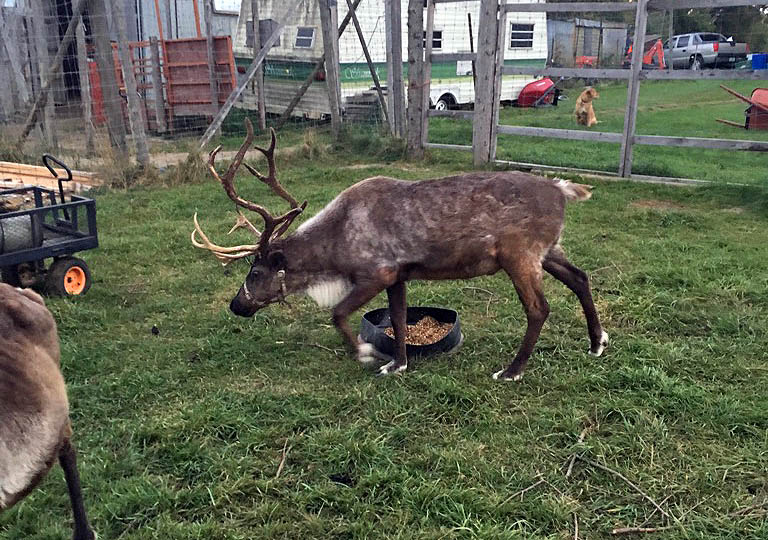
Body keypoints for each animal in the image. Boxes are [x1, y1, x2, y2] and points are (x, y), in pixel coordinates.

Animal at [192, 120, 608, 380]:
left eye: (255, 271)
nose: (236, 305)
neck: (334, 249)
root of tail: (562, 189)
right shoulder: (400, 274)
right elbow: (397, 316)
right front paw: (398, 364)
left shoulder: (376, 272)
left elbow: (338, 313)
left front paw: (365, 353)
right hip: (549, 250)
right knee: (581, 278)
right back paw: (597, 342)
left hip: (518, 255)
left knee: (539, 308)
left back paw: (512, 370)